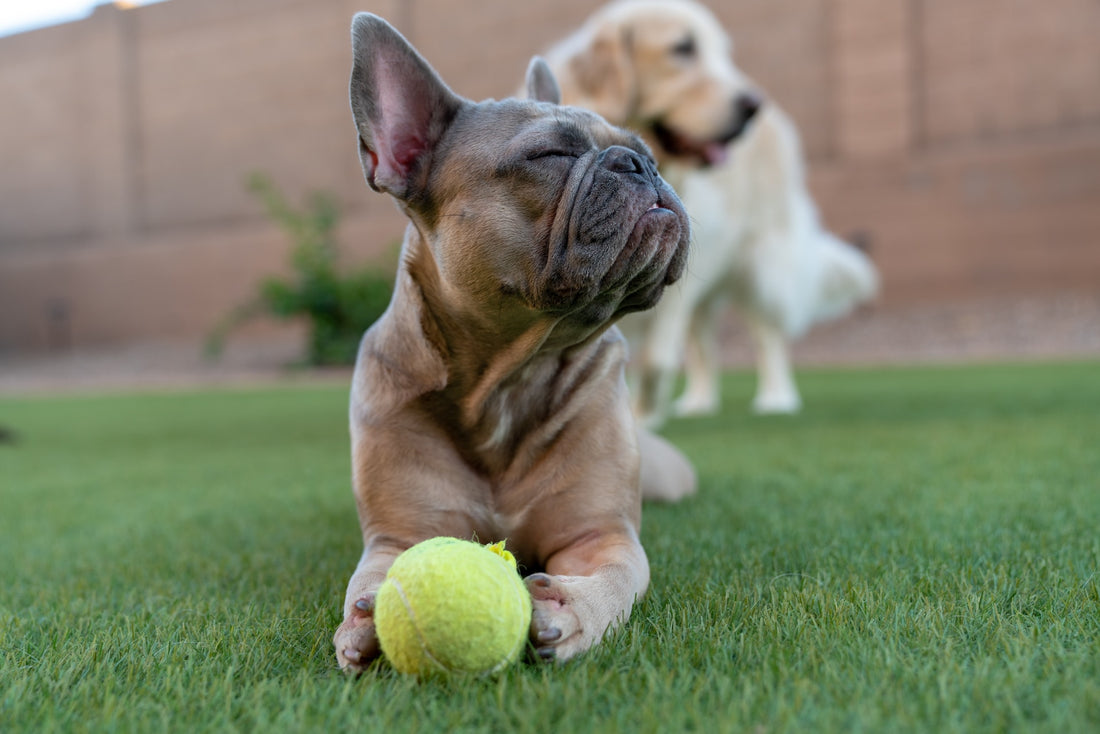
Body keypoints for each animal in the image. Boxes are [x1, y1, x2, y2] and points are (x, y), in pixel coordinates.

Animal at [547, 0, 875, 424]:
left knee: (767, 333)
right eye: (683, 48)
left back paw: (776, 399)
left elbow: (655, 360)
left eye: (723, 53)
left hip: (761, 262)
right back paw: (698, 404)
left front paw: (641, 419)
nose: (752, 105)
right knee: (704, 342)